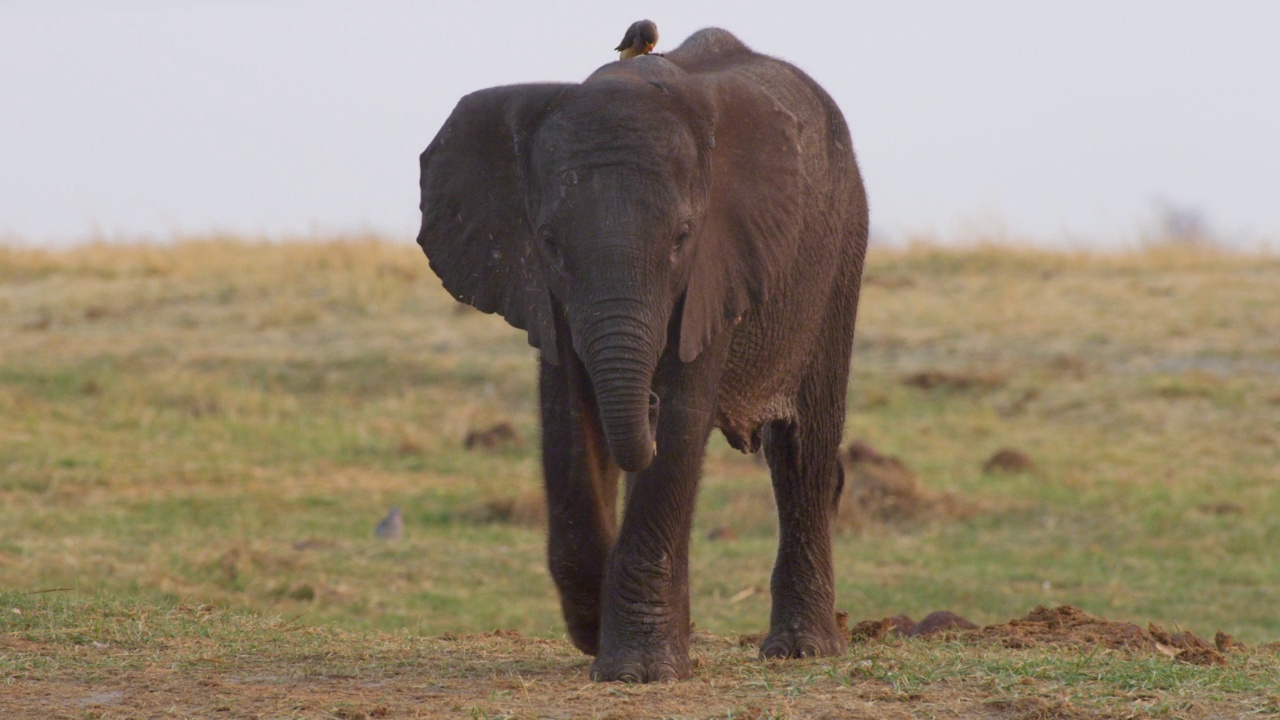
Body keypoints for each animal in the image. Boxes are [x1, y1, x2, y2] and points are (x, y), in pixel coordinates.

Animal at [417, 28, 870, 676]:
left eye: (682, 237)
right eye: (549, 242)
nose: (646, 402)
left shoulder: (718, 261)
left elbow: (682, 417)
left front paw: (639, 672)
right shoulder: (546, 290)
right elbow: (567, 418)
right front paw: (593, 631)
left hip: (840, 255)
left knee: (801, 452)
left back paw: (800, 650)